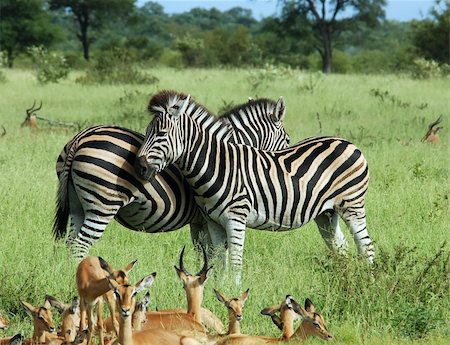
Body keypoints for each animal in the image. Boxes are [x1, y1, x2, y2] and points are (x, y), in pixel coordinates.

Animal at [54, 95, 290, 256]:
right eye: (287, 140)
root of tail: (80, 139)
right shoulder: (208, 219)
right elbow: (212, 254)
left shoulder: (198, 222)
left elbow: (201, 254)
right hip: (103, 205)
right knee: (80, 245)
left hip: (77, 205)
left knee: (70, 244)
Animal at [135, 90, 374, 282]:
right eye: (147, 132)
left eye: (161, 134)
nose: (140, 168)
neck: (217, 165)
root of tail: (346, 141)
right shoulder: (212, 222)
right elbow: (218, 261)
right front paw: (216, 292)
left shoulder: (235, 219)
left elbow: (234, 261)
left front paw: (233, 293)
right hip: (327, 213)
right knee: (341, 247)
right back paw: (346, 279)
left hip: (352, 205)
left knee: (366, 248)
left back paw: (368, 284)